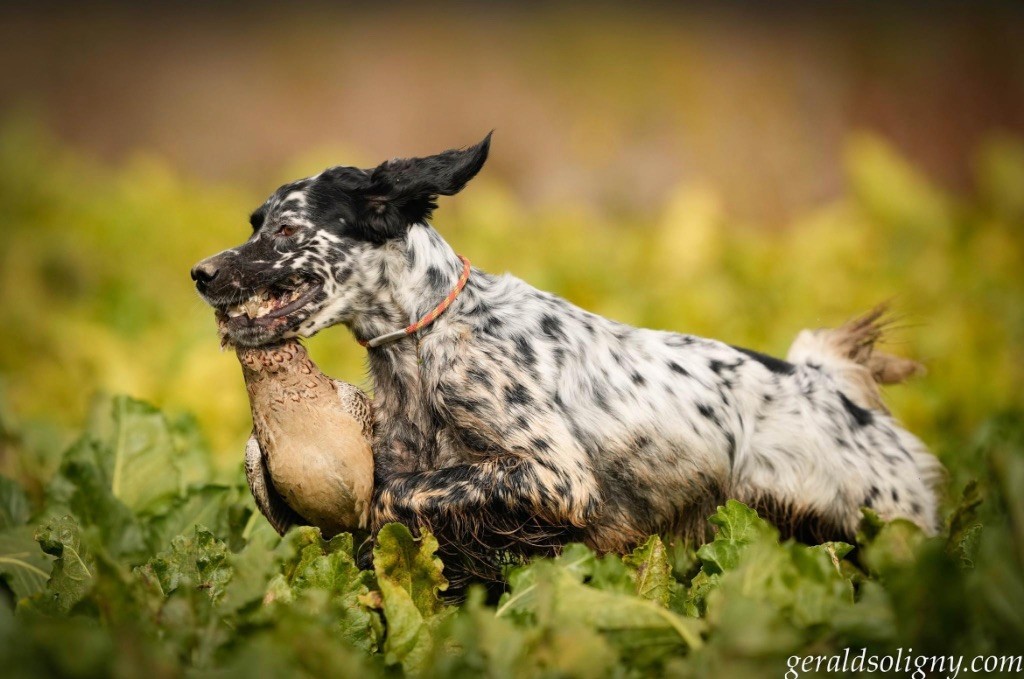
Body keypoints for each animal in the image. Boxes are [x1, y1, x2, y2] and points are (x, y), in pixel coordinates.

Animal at [192, 135, 942, 581]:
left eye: (286, 229)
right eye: (254, 222)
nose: (200, 272)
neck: (432, 339)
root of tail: (835, 385)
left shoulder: (555, 477)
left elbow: (397, 493)